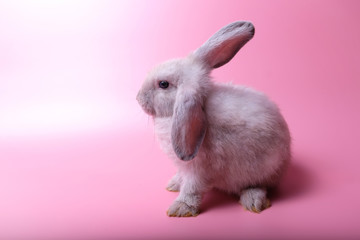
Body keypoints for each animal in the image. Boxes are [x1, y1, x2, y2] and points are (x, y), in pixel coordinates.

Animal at [136, 21, 292, 218]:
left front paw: (180, 208)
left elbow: (191, 189)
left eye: (163, 84)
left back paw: (252, 201)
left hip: (264, 168)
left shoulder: (198, 170)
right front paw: (173, 184)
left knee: (259, 186)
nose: (138, 98)